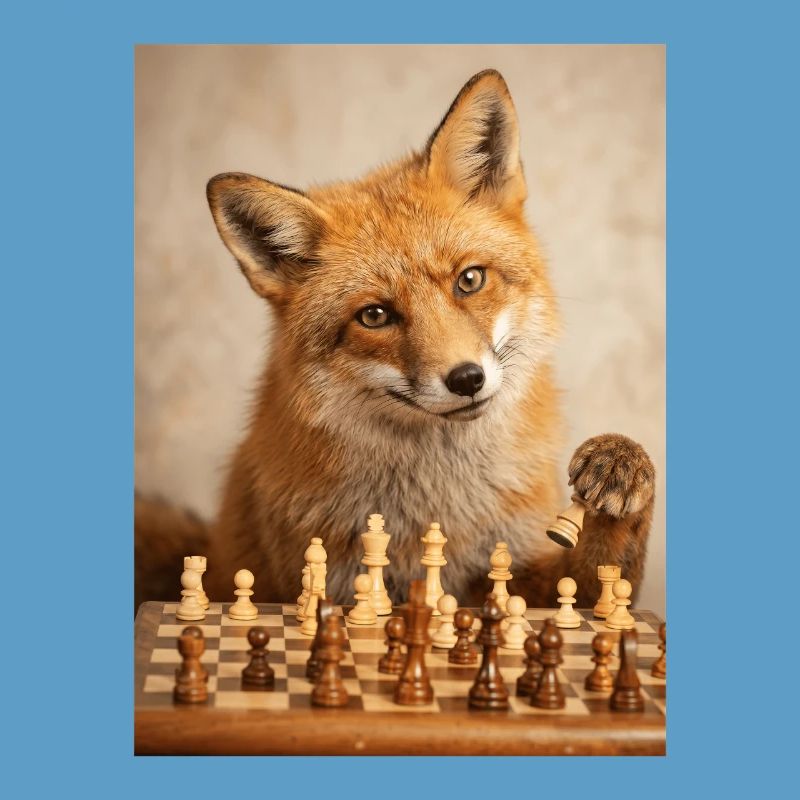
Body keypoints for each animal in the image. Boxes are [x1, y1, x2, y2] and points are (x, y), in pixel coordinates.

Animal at [135, 69, 655, 610]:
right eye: (375, 315)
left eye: (469, 280)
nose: (466, 379)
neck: (437, 506)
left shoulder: (517, 573)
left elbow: (602, 581)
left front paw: (619, 466)